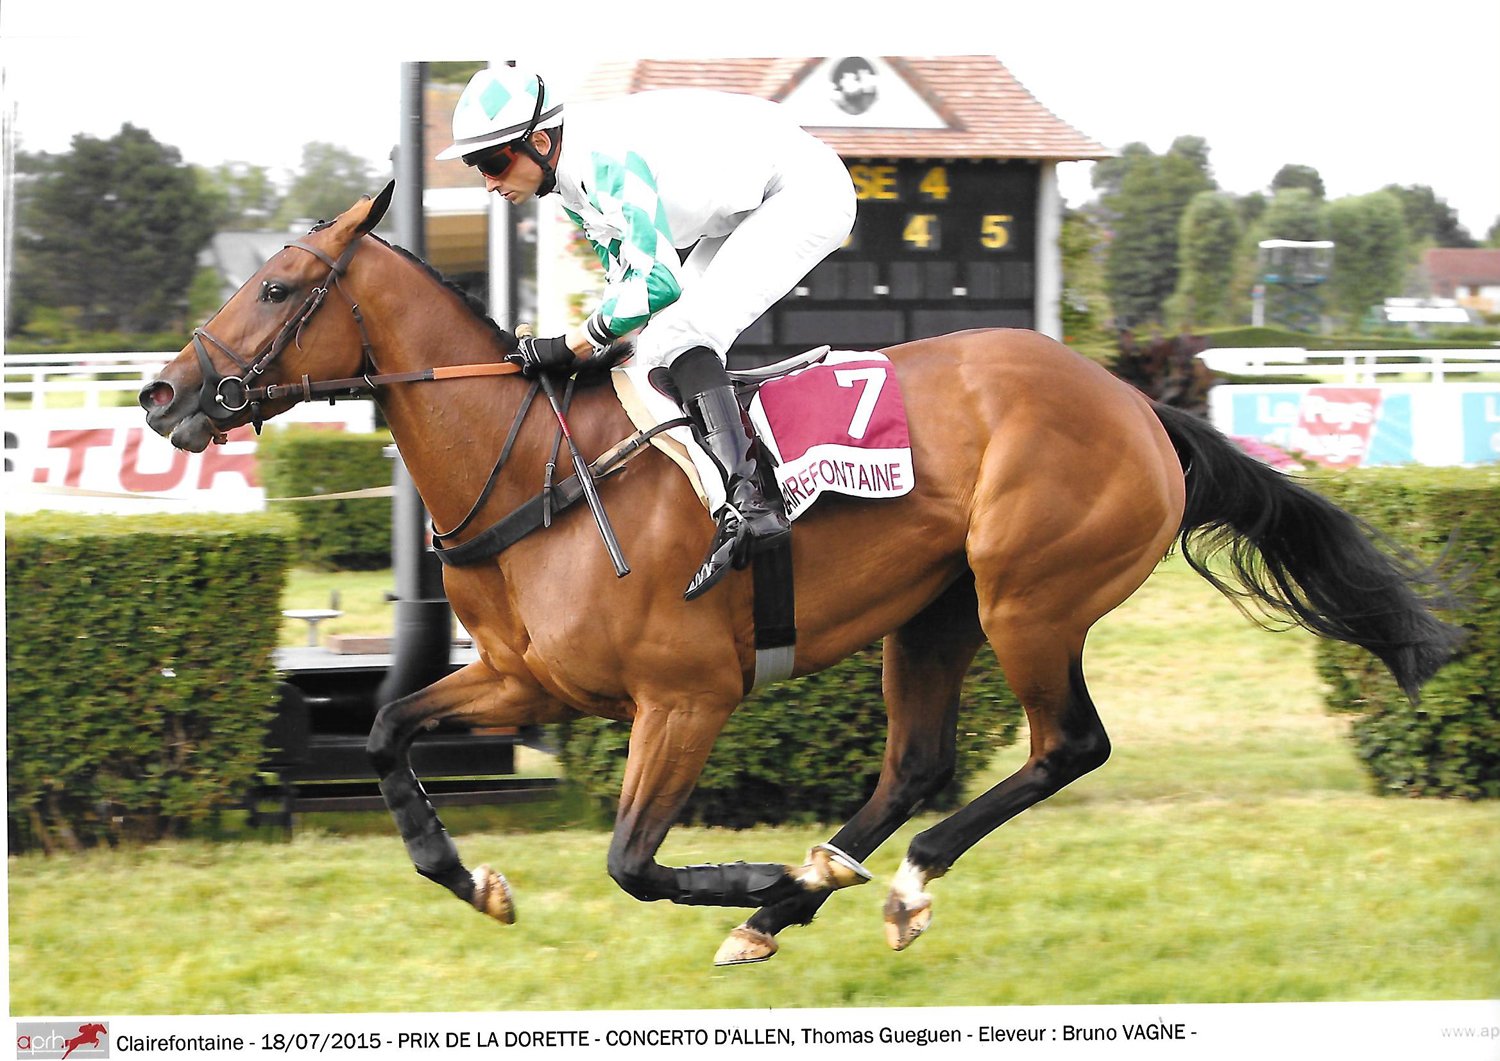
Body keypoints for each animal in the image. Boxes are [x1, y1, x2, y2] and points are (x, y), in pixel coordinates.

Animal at [140, 183, 1466, 965]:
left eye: (275, 286)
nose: (160, 393)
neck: (536, 465)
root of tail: (1137, 403)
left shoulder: (688, 694)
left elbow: (632, 859)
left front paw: (745, 872)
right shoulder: (527, 679)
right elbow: (382, 734)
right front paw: (479, 883)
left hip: (1028, 594)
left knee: (1064, 745)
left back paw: (880, 881)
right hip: (934, 613)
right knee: (920, 758)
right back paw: (811, 884)